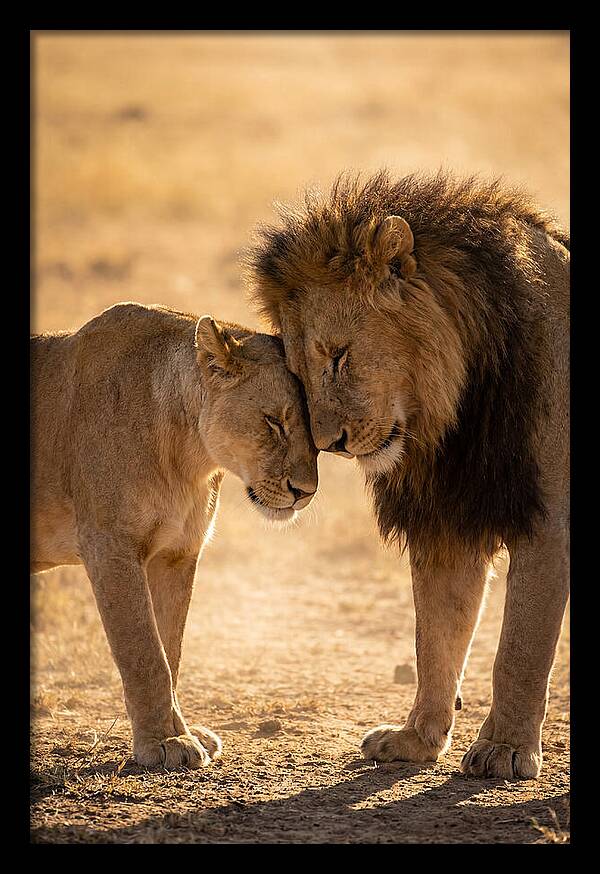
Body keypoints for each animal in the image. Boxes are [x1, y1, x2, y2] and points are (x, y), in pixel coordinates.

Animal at [30, 302, 318, 768]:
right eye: (274, 422)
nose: (305, 492)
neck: (189, 457)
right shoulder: (110, 546)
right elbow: (145, 654)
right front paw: (163, 743)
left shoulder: (177, 554)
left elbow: (171, 651)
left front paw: (183, 732)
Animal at [247, 170, 569, 779]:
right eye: (297, 372)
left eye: (339, 355)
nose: (330, 444)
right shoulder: (447, 522)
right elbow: (435, 638)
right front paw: (416, 739)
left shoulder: (550, 521)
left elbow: (519, 647)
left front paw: (505, 748)